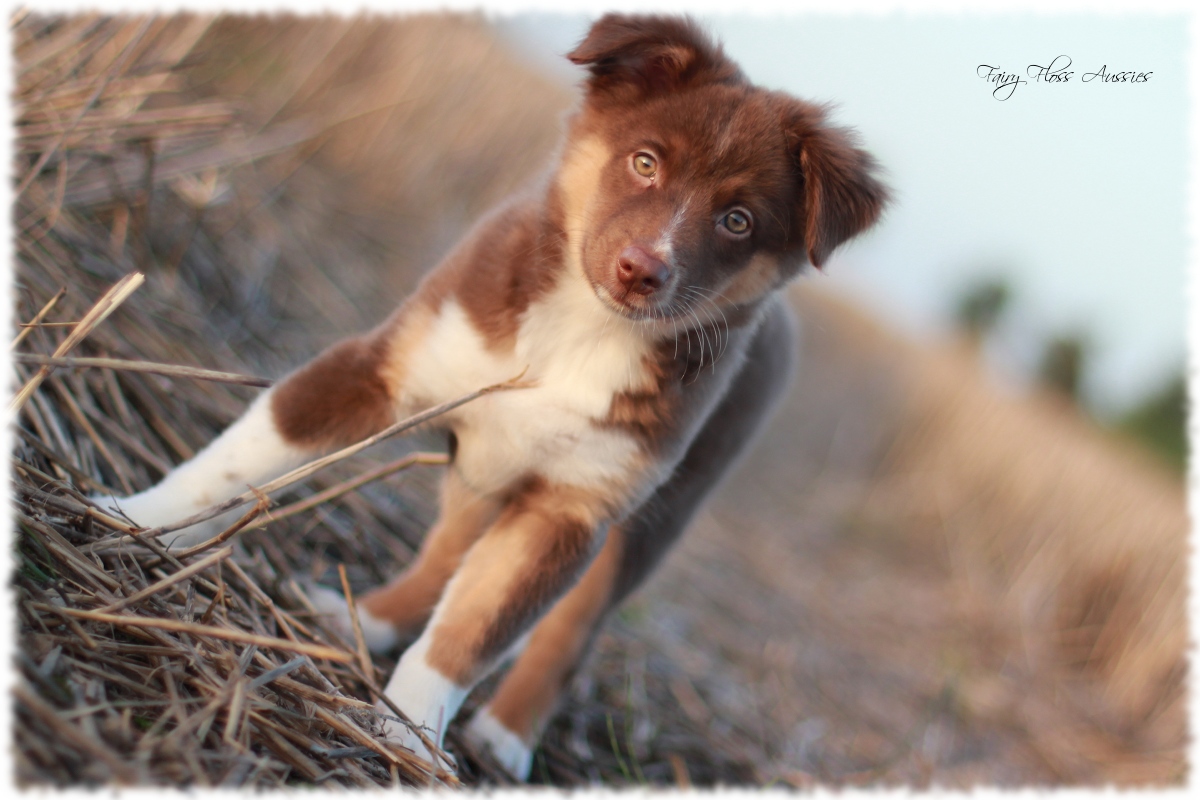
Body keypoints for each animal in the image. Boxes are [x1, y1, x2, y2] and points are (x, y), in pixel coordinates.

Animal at [93, 15, 888, 782]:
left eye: (737, 221)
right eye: (645, 162)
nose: (641, 271)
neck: (583, 329)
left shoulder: (571, 508)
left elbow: (479, 626)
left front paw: (411, 733)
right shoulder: (385, 365)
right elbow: (241, 458)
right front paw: (132, 523)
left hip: (662, 511)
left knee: (573, 625)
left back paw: (507, 733)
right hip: (481, 463)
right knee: (448, 548)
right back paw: (365, 619)